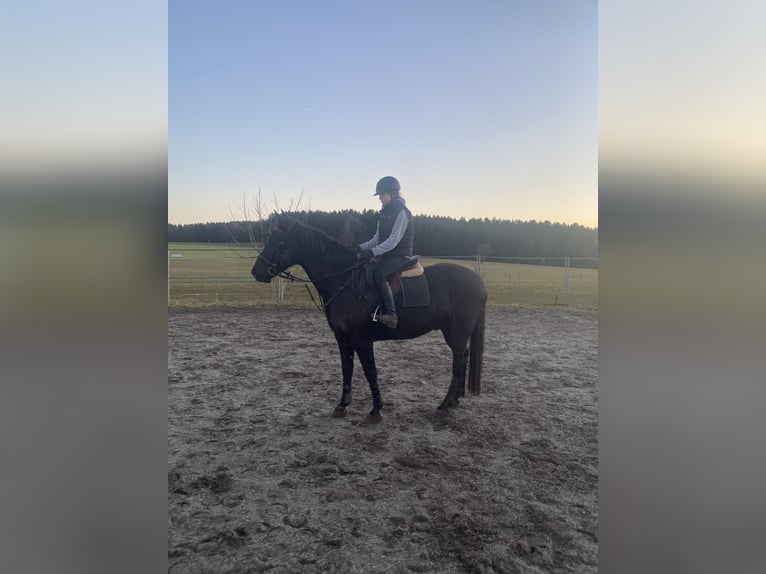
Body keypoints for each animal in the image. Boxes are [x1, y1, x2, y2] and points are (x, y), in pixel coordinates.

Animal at [251, 214, 487, 424]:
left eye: (280, 242)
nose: (256, 272)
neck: (343, 280)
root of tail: (477, 281)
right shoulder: (342, 338)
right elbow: (347, 369)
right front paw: (342, 406)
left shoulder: (362, 340)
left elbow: (370, 372)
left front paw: (376, 410)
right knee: (462, 359)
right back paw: (454, 402)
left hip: (456, 334)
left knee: (459, 362)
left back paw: (444, 406)